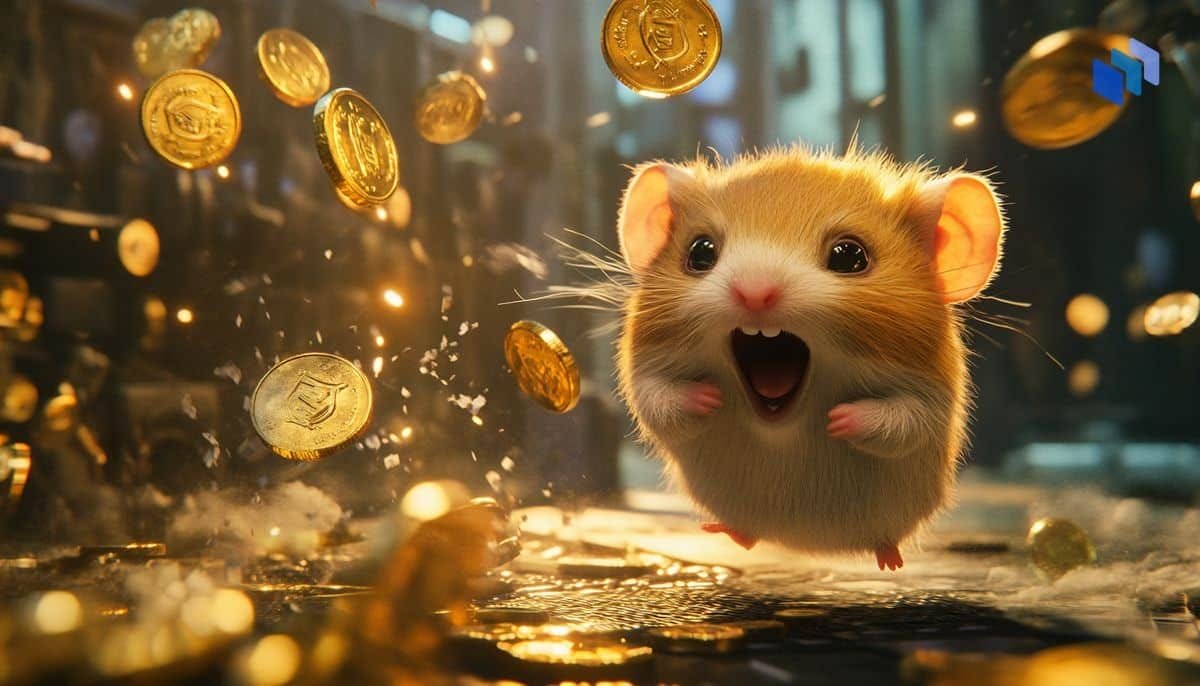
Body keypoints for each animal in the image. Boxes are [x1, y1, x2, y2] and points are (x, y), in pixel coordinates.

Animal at [612, 145, 1005, 570]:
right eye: (700, 252)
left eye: (849, 256)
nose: (754, 293)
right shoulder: (646, 367)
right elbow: (657, 400)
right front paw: (707, 398)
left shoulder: (929, 396)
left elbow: (902, 421)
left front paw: (839, 418)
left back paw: (890, 559)